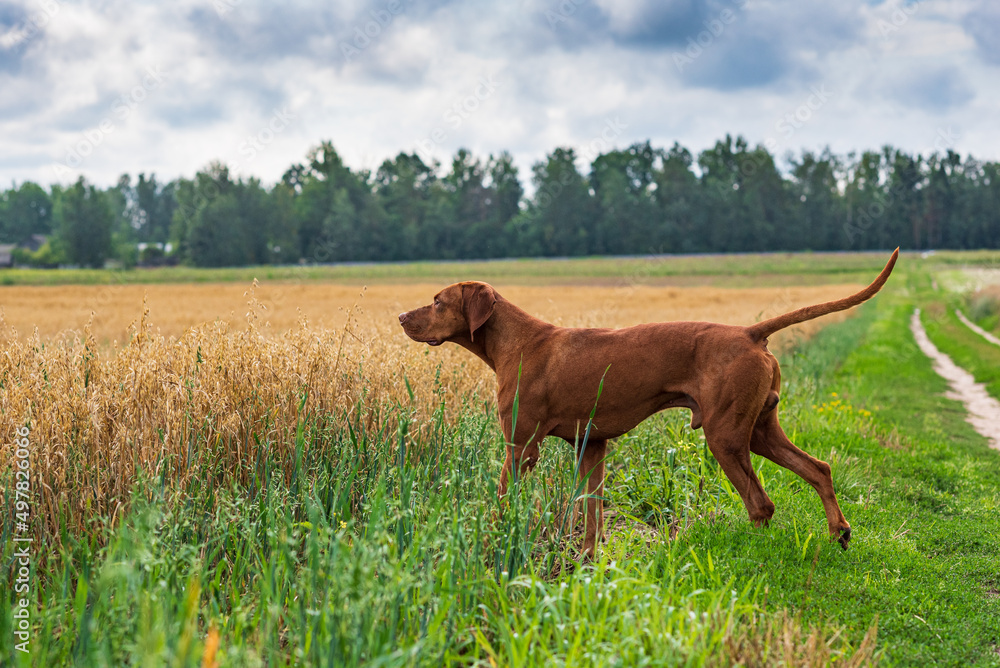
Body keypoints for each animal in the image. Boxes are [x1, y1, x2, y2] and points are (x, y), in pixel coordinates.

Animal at [396, 249, 900, 552]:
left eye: (438, 301)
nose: (400, 316)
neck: (516, 342)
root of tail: (749, 333)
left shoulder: (521, 448)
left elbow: (505, 500)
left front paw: (495, 542)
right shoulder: (591, 446)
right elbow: (592, 512)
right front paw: (586, 560)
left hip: (725, 436)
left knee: (761, 503)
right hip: (759, 430)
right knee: (819, 469)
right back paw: (839, 531)